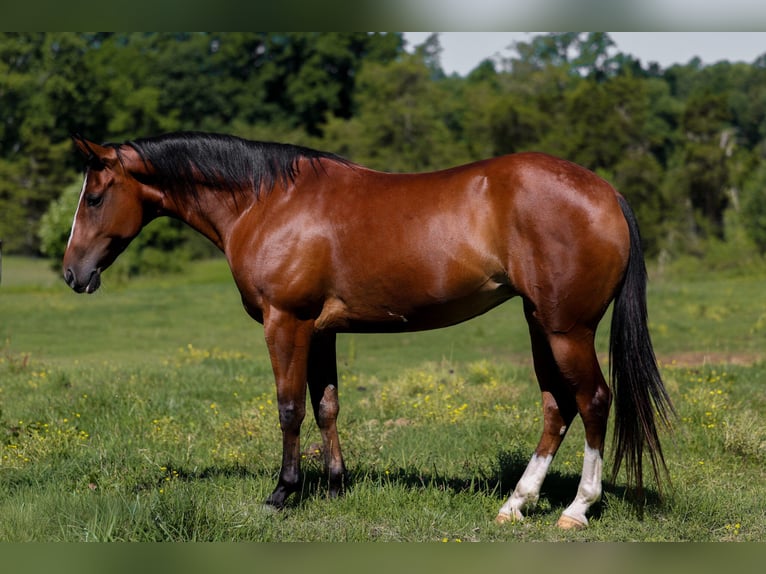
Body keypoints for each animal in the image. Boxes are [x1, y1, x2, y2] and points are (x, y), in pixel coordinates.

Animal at [63, 131, 674, 529]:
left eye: (94, 197)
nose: (73, 273)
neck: (268, 201)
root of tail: (606, 193)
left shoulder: (286, 322)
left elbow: (290, 407)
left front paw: (282, 493)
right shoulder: (320, 330)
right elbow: (327, 405)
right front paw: (335, 487)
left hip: (567, 329)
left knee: (592, 401)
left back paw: (577, 509)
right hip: (539, 324)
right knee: (557, 406)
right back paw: (515, 504)